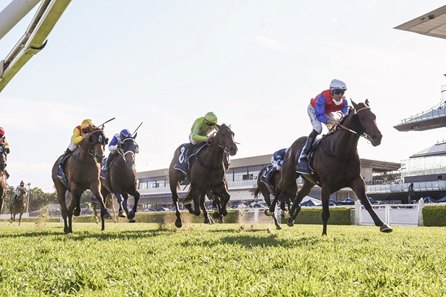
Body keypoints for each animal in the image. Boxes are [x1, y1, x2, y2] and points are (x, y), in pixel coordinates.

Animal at [280, 99, 392, 234]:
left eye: (374, 116)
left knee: (299, 196)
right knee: (280, 190)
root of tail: (291, 147)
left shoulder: (356, 180)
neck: (340, 151)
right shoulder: (326, 186)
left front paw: (383, 224)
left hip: (308, 182)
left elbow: (367, 204)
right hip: (288, 175)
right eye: (362, 117)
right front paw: (324, 234)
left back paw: (290, 218)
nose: (378, 137)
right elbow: (325, 213)